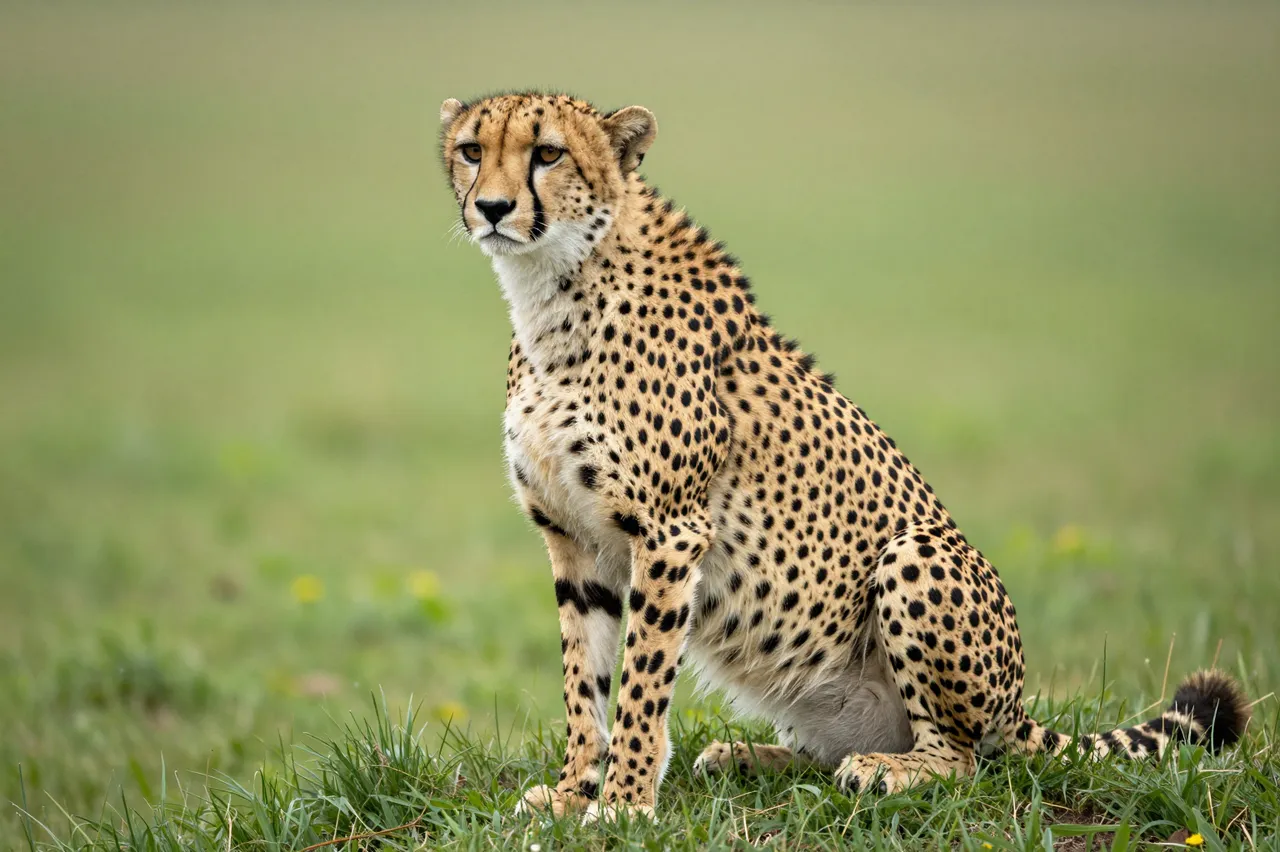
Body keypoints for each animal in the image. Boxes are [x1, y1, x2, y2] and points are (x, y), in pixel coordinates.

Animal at [436, 91, 1251, 821]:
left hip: (916, 554)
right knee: (832, 752)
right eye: (472, 150)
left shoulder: (669, 532)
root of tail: (1017, 703)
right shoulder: (575, 540)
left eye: (548, 154)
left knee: (962, 760)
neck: (552, 290)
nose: (494, 209)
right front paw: (574, 792)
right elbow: (586, 681)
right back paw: (745, 756)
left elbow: (640, 682)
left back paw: (888, 770)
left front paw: (625, 804)